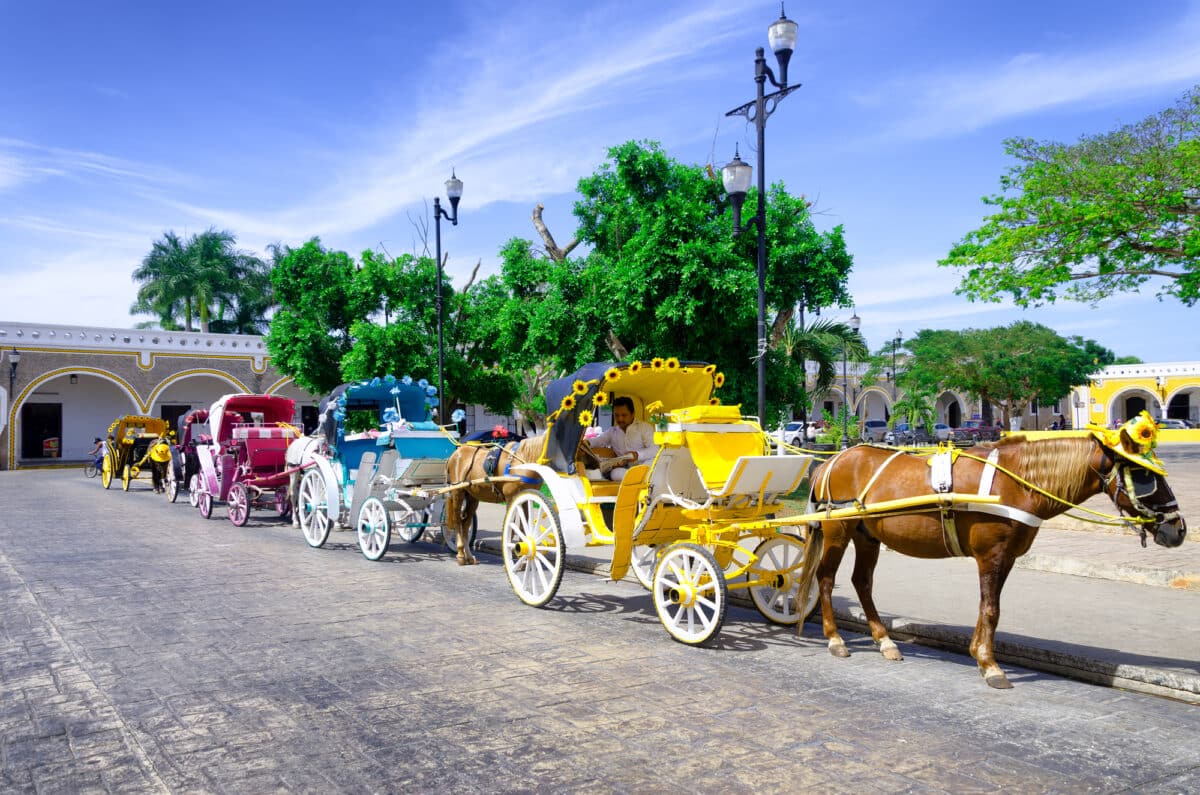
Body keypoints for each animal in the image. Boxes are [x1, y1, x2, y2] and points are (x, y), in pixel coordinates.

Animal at [444, 437, 547, 566]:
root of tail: (455, 454)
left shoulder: (526, 498)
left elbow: (524, 527)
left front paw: (523, 561)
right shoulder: (510, 498)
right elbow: (510, 529)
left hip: (472, 497)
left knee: (465, 523)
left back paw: (469, 556)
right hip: (458, 492)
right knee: (457, 520)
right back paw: (461, 555)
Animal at [796, 432, 1180, 686]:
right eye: (1144, 475)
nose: (1177, 528)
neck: (1019, 481)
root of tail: (831, 460)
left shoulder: (1005, 557)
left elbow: (988, 607)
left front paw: (979, 654)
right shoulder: (990, 555)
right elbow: (992, 608)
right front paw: (991, 664)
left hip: (867, 535)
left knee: (861, 581)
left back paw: (884, 640)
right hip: (838, 530)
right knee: (826, 578)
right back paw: (835, 638)